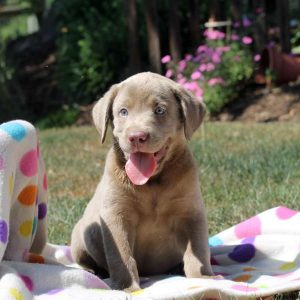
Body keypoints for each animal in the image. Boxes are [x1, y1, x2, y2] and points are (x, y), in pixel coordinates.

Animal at [71, 72, 213, 290]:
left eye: (160, 110)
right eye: (123, 112)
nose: (137, 137)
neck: (152, 182)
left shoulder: (191, 213)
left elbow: (197, 250)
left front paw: (204, 278)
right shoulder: (116, 216)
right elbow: (121, 255)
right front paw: (127, 287)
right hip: (80, 235)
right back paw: (93, 273)